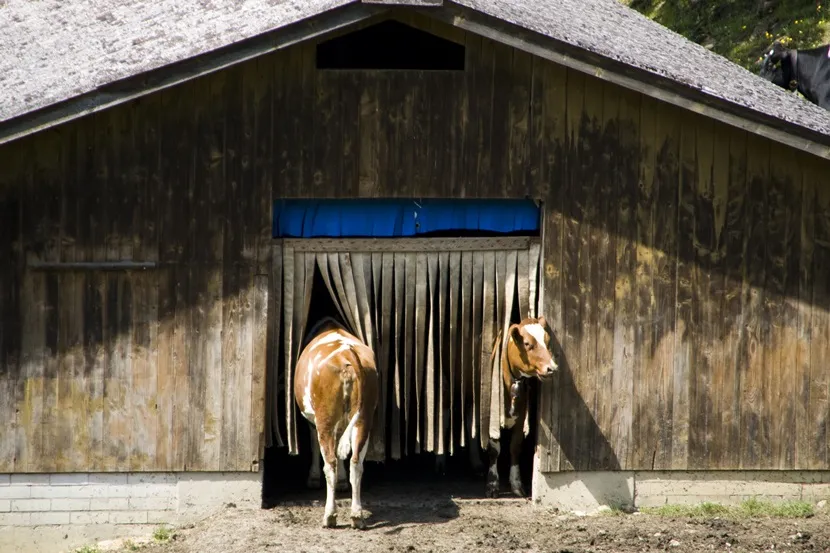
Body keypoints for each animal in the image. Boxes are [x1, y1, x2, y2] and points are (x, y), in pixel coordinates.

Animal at [296, 316, 380, 528]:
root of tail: (346, 355)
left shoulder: (313, 420)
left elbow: (316, 445)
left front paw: (313, 477)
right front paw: (343, 482)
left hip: (325, 418)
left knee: (330, 463)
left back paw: (330, 516)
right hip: (364, 417)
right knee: (356, 463)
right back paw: (357, 516)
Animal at [488, 314, 560, 500]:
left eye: (547, 341)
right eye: (527, 344)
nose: (552, 368)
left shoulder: (521, 416)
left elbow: (515, 447)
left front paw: (516, 484)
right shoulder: (490, 416)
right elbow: (494, 449)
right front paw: (493, 484)